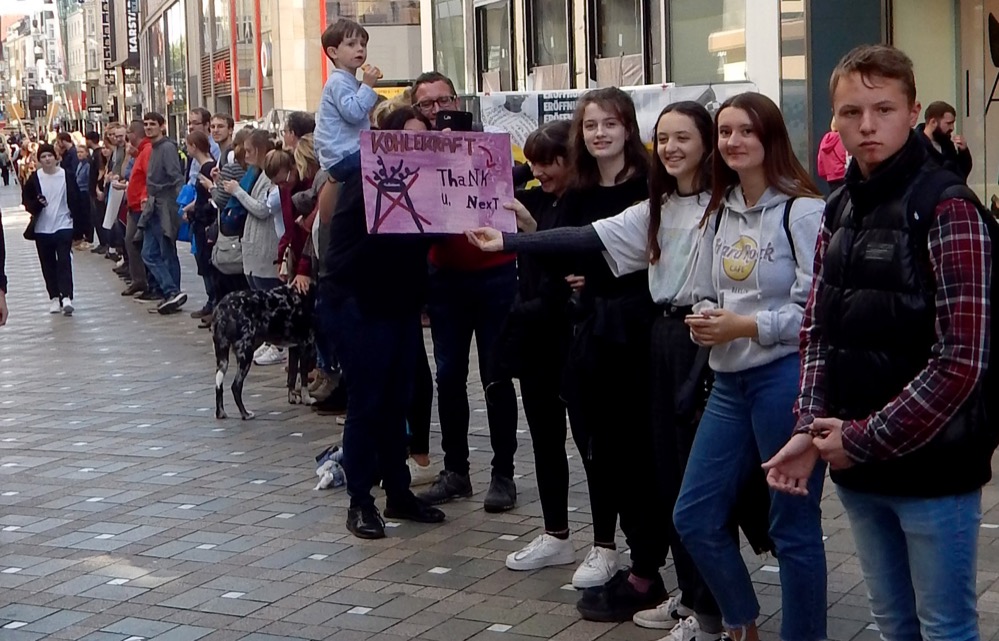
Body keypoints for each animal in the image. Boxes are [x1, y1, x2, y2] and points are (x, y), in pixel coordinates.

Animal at [213, 286, 314, 420]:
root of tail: (224, 307)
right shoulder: (306, 346)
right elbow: (304, 379)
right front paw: (307, 399)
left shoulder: (294, 348)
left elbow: (291, 377)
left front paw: (292, 398)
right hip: (246, 355)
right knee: (236, 387)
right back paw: (245, 414)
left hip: (222, 358)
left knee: (218, 386)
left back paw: (220, 413)